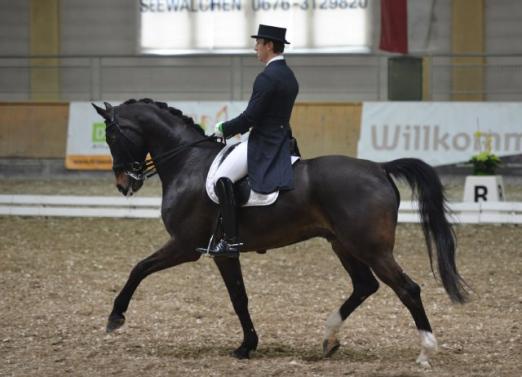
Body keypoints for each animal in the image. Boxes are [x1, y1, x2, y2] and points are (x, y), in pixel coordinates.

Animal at [93, 98, 468, 366]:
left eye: (111, 136)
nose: (124, 184)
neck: (188, 163)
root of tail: (378, 168)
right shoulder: (222, 251)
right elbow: (239, 297)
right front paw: (248, 345)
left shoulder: (187, 246)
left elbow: (140, 268)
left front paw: (115, 317)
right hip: (343, 244)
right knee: (365, 285)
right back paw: (329, 338)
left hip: (371, 248)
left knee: (407, 288)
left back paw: (425, 351)